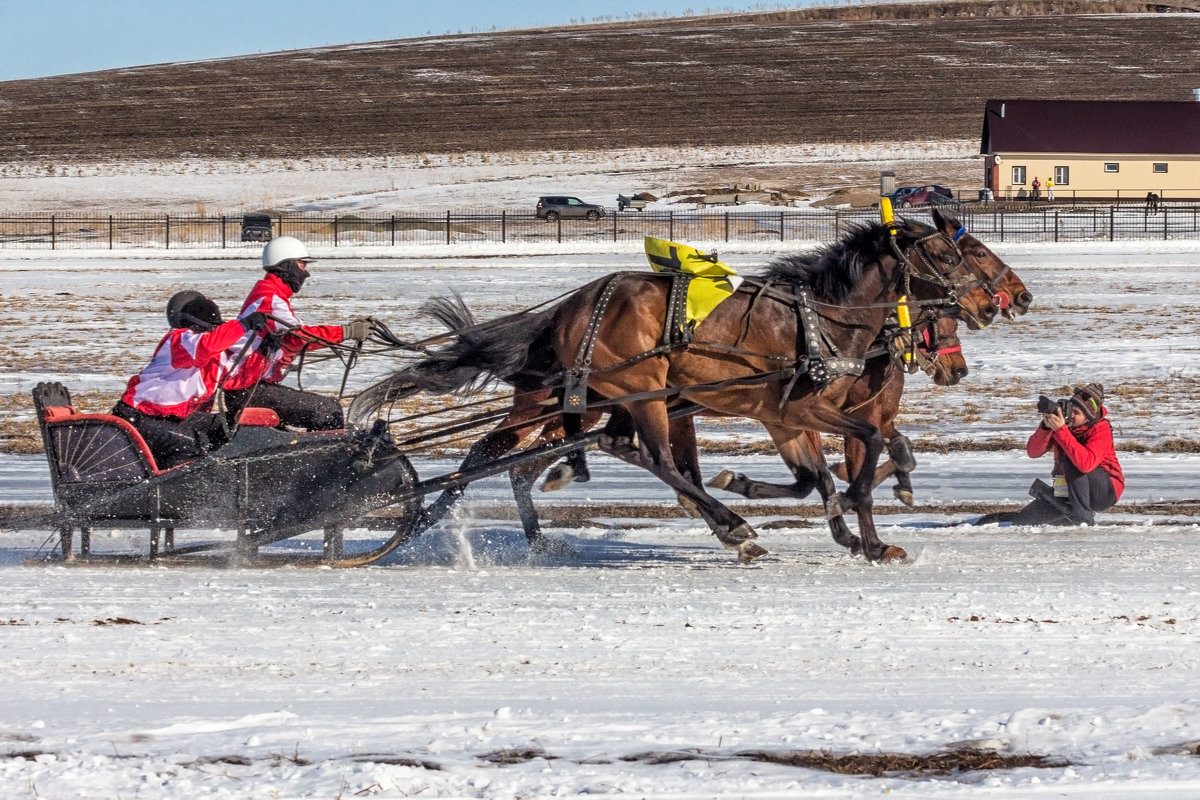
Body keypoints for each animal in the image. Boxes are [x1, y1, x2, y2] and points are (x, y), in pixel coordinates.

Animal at [396, 212, 1003, 563]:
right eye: (950, 254)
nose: (992, 302)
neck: (825, 319)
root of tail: (570, 309)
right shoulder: (800, 409)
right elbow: (865, 451)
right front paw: (861, 521)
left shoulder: (786, 417)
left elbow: (832, 470)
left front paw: (863, 538)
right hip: (629, 390)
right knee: (646, 457)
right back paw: (732, 526)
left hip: (623, 398)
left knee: (600, 448)